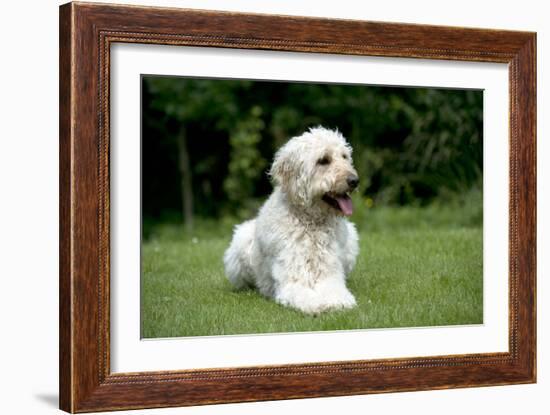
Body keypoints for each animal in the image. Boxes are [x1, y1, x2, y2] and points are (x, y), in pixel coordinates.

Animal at [224, 127, 362, 316]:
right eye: (323, 160)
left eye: (344, 156)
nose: (354, 181)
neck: (311, 222)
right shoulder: (293, 279)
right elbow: (303, 295)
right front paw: (318, 305)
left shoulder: (330, 274)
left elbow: (336, 291)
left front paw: (337, 302)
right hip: (241, 243)